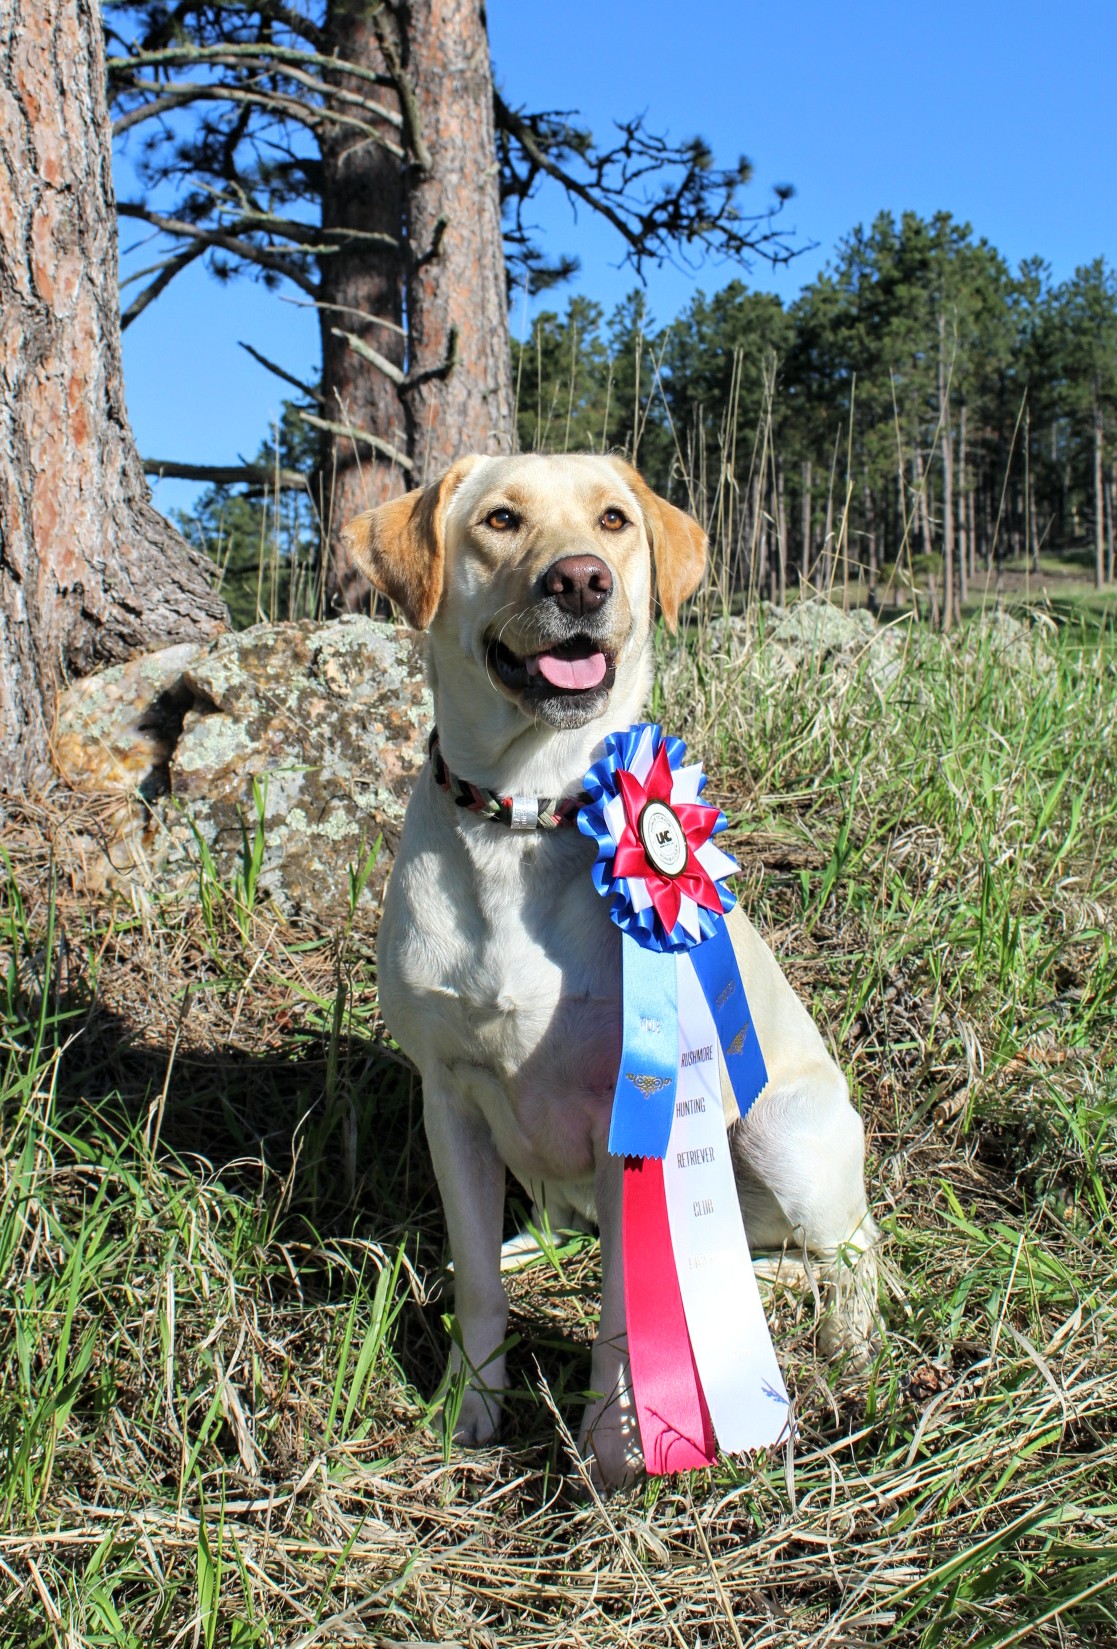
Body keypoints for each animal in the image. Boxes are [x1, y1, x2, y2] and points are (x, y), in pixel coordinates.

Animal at [344, 451, 877, 1484]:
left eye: (614, 520)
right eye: (500, 519)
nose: (581, 580)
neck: (525, 811)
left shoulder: (639, 1119)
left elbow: (626, 1315)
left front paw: (616, 1446)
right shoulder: (450, 1096)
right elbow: (476, 1282)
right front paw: (470, 1405)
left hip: (786, 1138)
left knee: (855, 1244)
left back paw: (849, 1332)